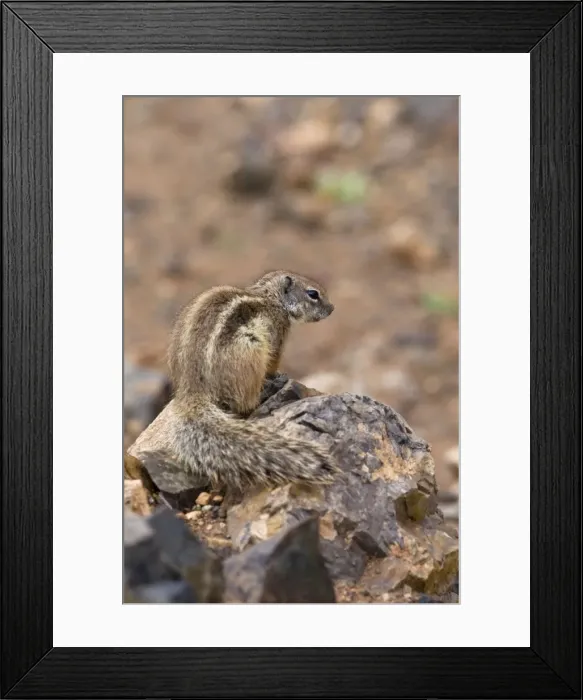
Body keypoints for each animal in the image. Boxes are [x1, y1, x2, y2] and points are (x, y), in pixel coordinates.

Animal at [127, 271, 340, 493]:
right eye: (313, 294)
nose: (332, 308)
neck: (270, 297)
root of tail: (192, 390)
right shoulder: (278, 332)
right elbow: (273, 361)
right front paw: (278, 375)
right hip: (249, 352)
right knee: (245, 402)